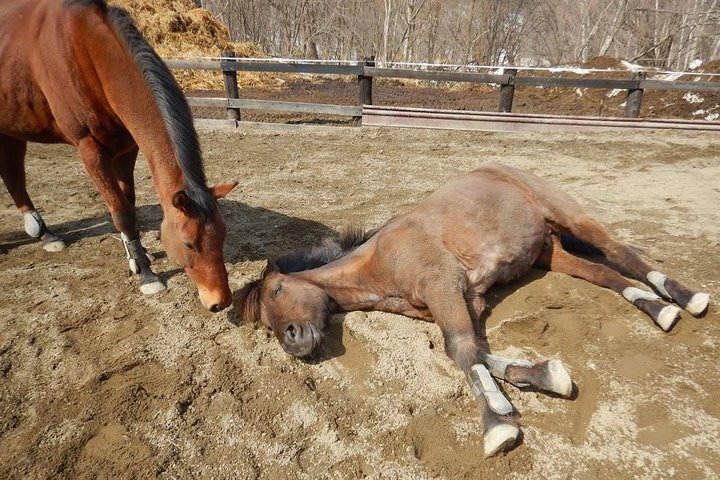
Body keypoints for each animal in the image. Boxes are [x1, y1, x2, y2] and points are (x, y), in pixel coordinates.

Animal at [0, 0, 237, 311]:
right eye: (188, 243)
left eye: (223, 235)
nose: (220, 301)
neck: (87, 51)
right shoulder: (89, 149)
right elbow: (121, 211)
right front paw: (146, 272)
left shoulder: (127, 147)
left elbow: (128, 202)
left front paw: (137, 256)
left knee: (12, 174)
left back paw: (45, 234)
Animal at [237, 162, 710, 457]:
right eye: (266, 325)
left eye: (277, 289)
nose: (293, 342)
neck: (379, 262)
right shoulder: (465, 300)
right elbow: (480, 354)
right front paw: (544, 378)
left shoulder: (445, 287)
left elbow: (462, 350)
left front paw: (496, 427)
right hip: (548, 252)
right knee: (604, 273)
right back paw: (656, 308)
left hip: (571, 217)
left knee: (621, 253)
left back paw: (685, 301)